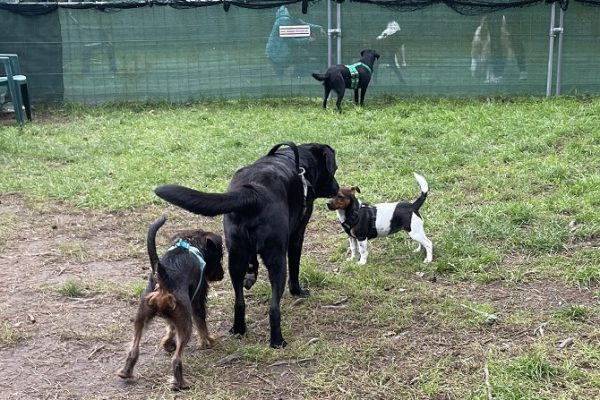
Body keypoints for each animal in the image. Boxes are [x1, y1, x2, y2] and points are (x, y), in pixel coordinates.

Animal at [119, 216, 225, 390]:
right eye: (220, 256)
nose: (222, 275)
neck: (191, 243)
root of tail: (164, 279)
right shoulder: (198, 301)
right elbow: (201, 323)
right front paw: (206, 341)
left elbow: (170, 326)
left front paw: (168, 342)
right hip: (185, 323)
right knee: (176, 359)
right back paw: (180, 384)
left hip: (141, 317)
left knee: (133, 349)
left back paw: (125, 372)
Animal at [155, 142, 340, 348]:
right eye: (333, 169)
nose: (338, 187)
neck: (298, 162)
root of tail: (253, 192)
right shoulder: (296, 237)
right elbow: (295, 269)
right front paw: (298, 291)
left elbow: (252, 262)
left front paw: (251, 274)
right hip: (277, 260)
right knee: (274, 308)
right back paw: (277, 340)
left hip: (235, 257)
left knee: (239, 302)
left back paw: (238, 329)